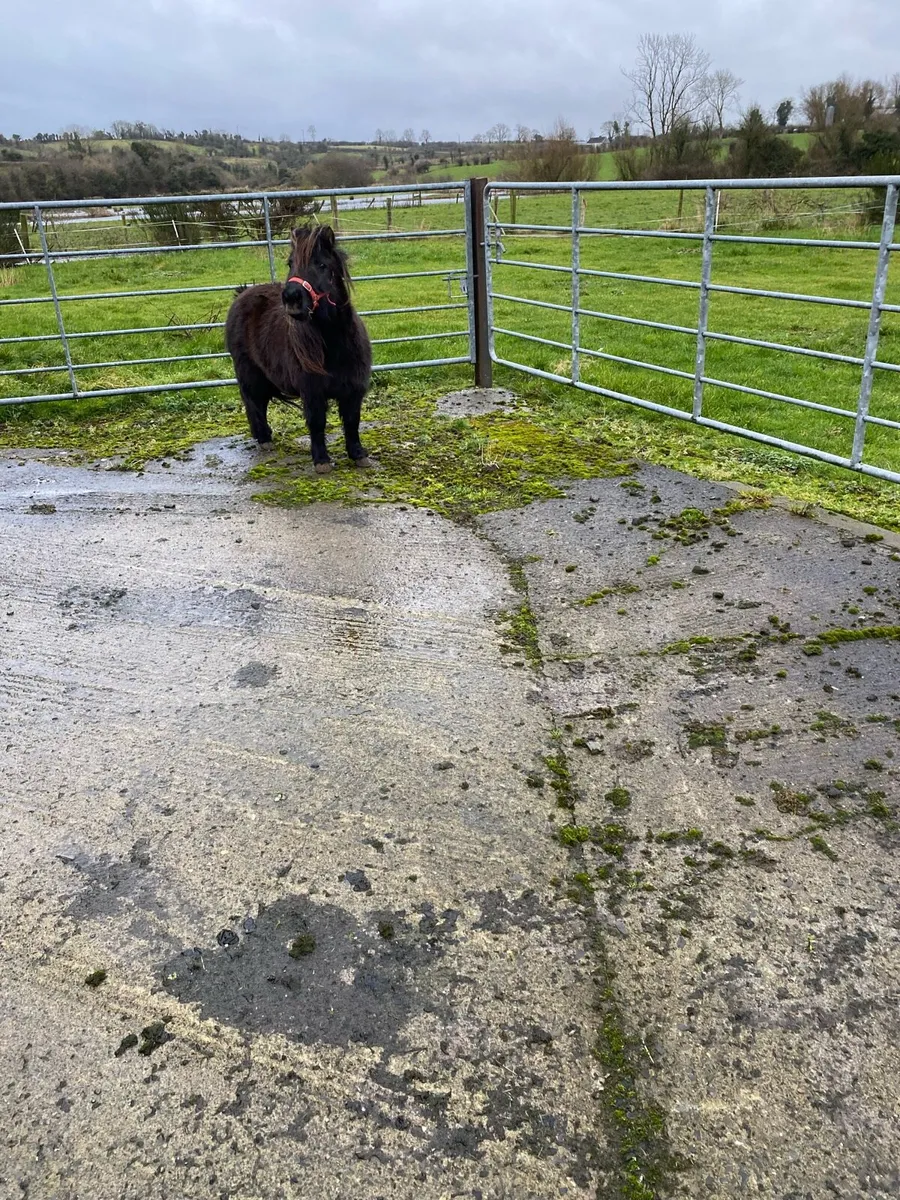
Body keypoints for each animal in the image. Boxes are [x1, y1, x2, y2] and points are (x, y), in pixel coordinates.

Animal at [224, 223, 374, 473]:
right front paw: (321, 461)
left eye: (322, 265)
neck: (335, 348)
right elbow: (317, 423)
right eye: (290, 263)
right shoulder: (312, 391)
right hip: (250, 374)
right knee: (254, 403)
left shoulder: (354, 389)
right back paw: (264, 439)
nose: (291, 297)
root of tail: (242, 293)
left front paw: (359, 455)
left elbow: (352, 422)